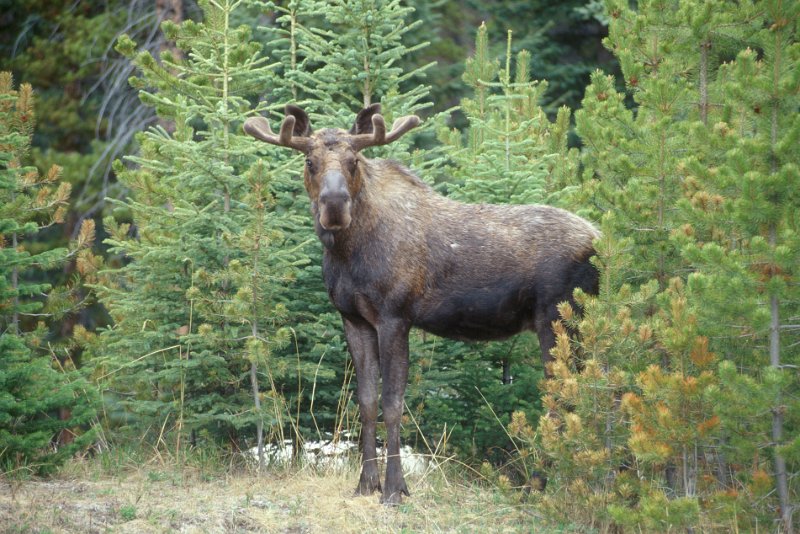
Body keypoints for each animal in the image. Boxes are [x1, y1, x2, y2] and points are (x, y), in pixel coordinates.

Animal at [244, 105, 600, 506]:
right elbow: (365, 401)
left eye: (354, 161)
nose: (334, 204)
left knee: (564, 396)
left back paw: (539, 486)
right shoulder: (353, 318)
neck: (348, 253)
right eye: (309, 161)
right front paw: (365, 483)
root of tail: (601, 240)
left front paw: (394, 489)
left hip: (557, 316)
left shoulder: (395, 316)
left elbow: (393, 403)